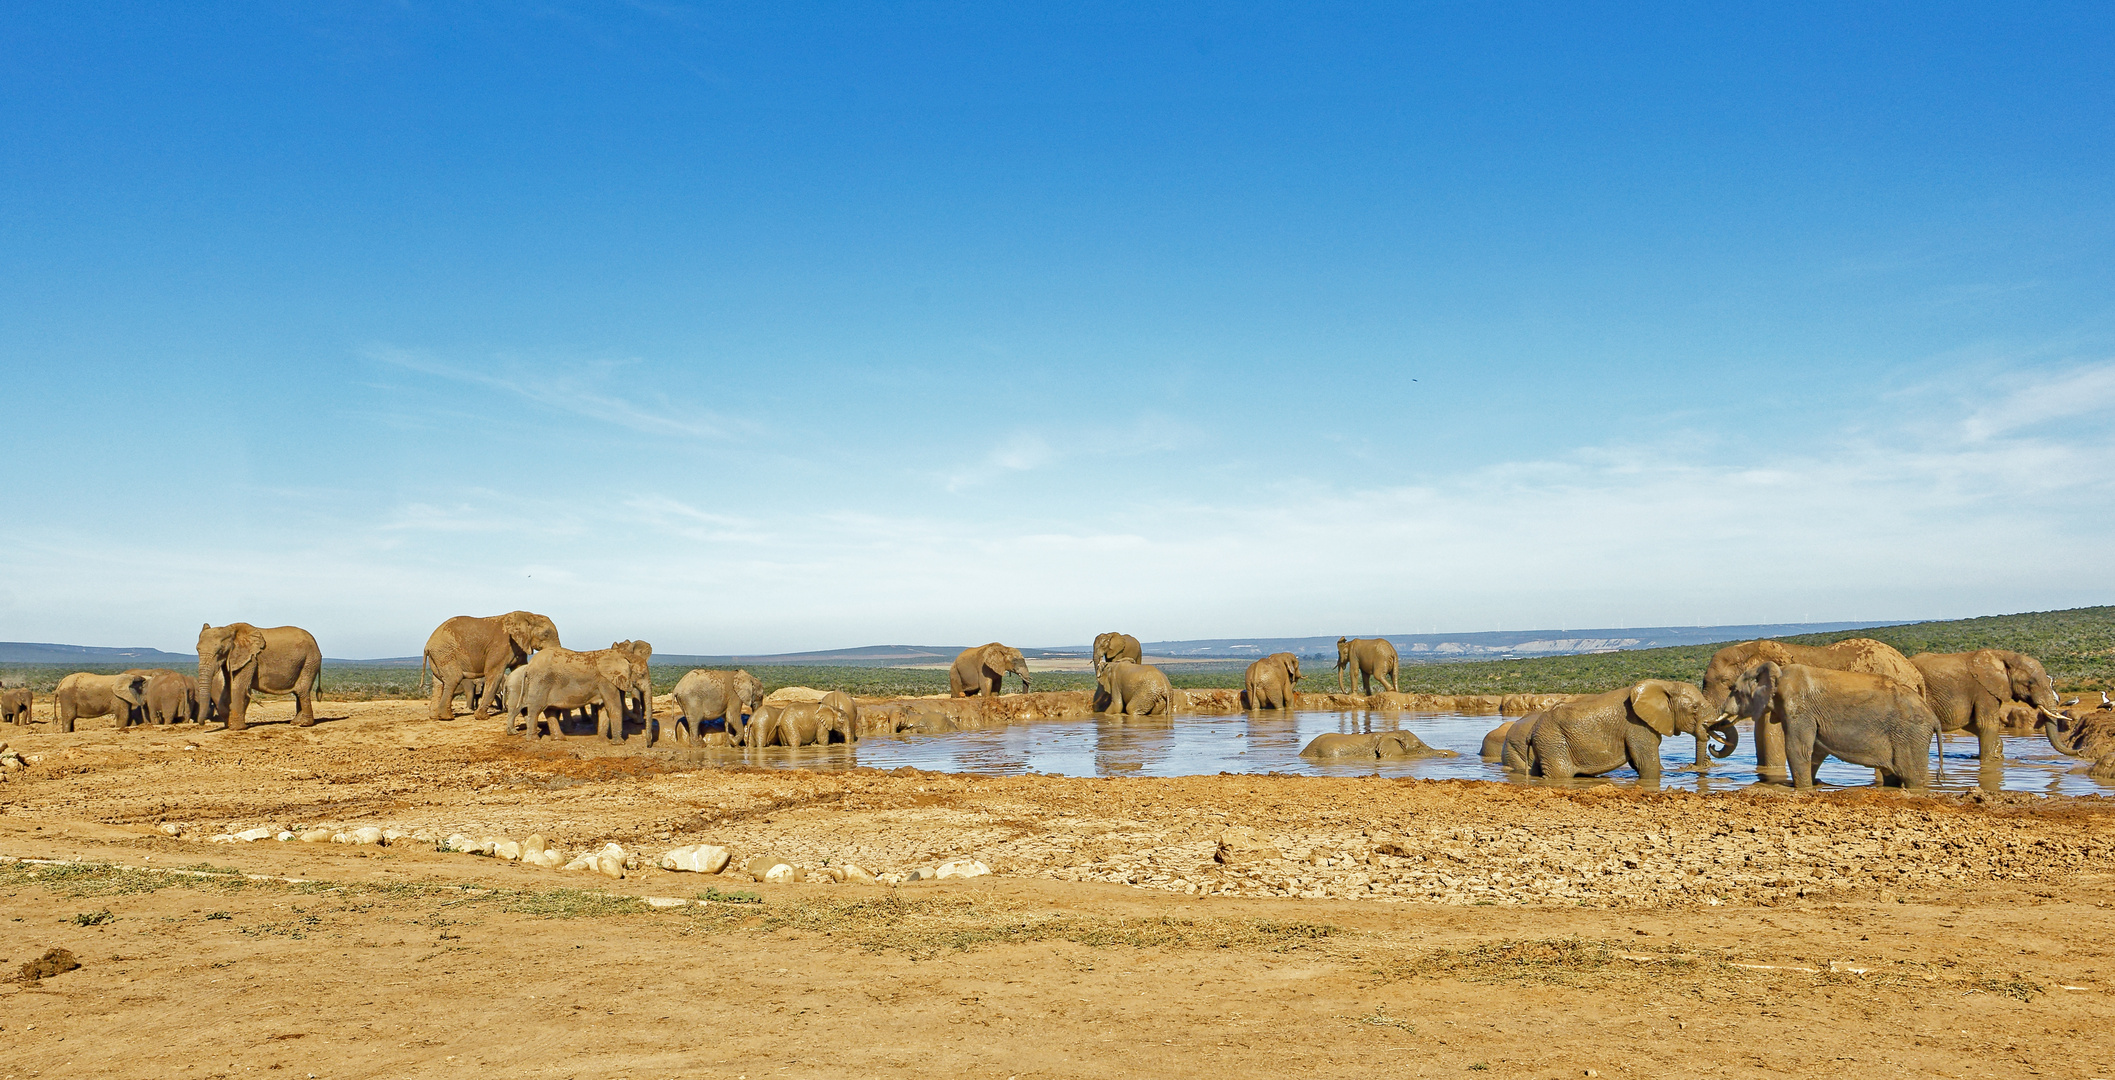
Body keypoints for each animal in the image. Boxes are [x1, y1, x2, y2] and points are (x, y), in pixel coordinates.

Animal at [412, 612, 558, 722]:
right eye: (546, 634)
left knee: (438, 683)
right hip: (445, 653)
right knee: (454, 678)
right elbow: (494, 673)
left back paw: (434, 717)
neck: (528, 615)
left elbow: (519, 671)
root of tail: (427, 645)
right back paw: (447, 717)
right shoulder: (501, 645)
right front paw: (482, 717)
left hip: (437, 656)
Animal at [1717, 663, 1937, 790]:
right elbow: (1815, 751)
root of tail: (1933, 717)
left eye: (1734, 690)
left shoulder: (1799, 709)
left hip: (1911, 734)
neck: (1778, 671)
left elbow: (1797, 749)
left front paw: (1802, 788)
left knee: (1912, 776)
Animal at [1911, 646, 2055, 765]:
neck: (2004, 656)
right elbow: (1986, 723)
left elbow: (1973, 723)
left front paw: (1996, 754)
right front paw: (1989, 761)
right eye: (2030, 682)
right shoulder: (1984, 689)